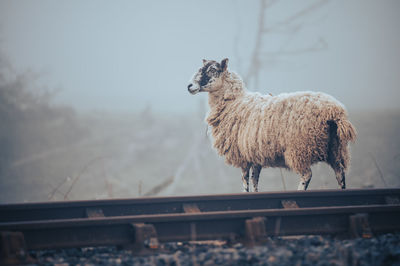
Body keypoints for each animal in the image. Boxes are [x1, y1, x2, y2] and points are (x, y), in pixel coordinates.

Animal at [188, 58, 356, 191]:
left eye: (212, 69)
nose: (189, 86)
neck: (235, 101)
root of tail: (334, 111)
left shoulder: (242, 155)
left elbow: (245, 182)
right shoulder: (255, 155)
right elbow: (255, 181)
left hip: (300, 148)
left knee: (307, 175)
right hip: (335, 148)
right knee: (340, 173)